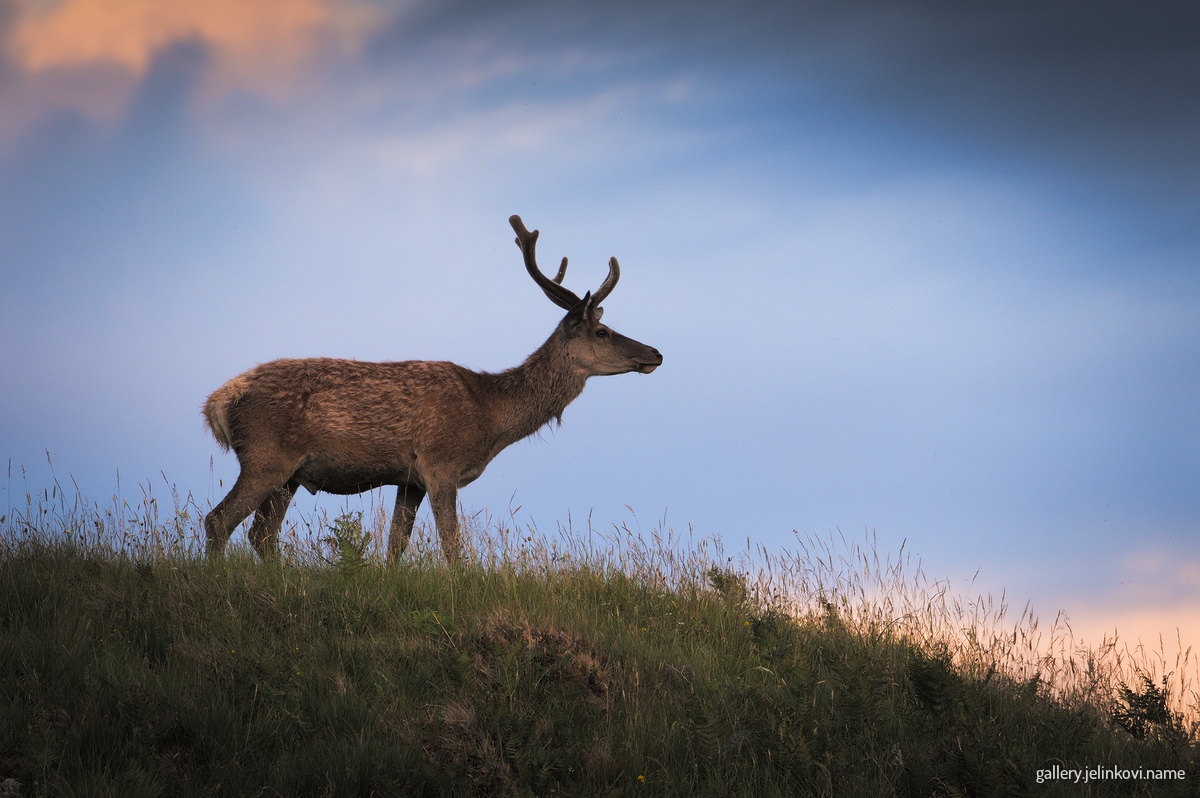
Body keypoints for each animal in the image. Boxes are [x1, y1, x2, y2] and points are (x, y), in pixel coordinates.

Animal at [202, 215, 663, 563]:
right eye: (602, 331)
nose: (655, 353)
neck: (489, 417)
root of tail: (219, 401)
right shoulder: (440, 462)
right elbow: (452, 546)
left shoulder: (410, 479)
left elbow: (395, 545)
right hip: (266, 455)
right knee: (218, 521)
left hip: (291, 474)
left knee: (261, 534)